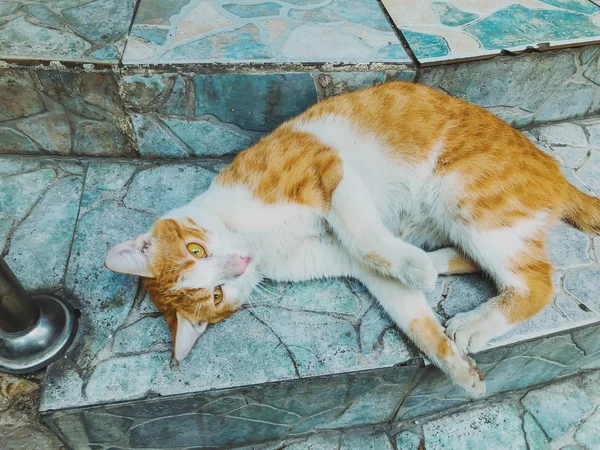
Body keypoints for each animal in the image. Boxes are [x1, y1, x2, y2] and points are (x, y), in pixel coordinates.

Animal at [103, 81, 600, 398]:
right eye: (216, 294)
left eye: (197, 249)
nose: (239, 263)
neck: (256, 238)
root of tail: (557, 173)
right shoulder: (349, 263)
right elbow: (410, 314)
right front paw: (459, 371)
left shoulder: (329, 169)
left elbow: (364, 235)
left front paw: (413, 269)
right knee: (490, 264)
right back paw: (437, 266)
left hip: (464, 194)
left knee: (539, 283)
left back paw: (471, 318)